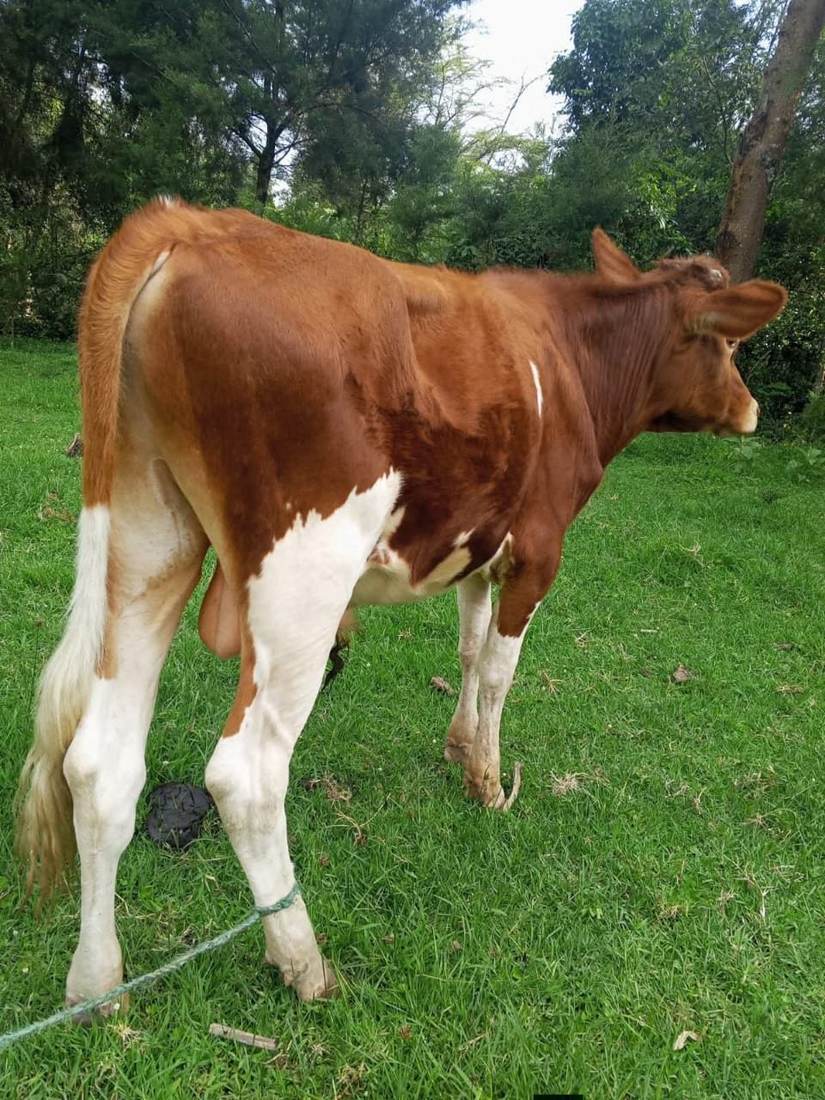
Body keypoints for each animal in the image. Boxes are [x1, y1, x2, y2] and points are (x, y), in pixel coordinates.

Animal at [16, 199, 786, 1008]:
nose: (750, 409)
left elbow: (469, 648)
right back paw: (303, 961)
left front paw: (457, 746)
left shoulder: (480, 551)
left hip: (146, 536)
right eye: (729, 342)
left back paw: (97, 983)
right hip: (302, 578)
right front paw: (487, 780)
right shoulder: (539, 551)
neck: (570, 357)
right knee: (246, 774)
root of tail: (192, 223)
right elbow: (499, 671)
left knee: (99, 765)